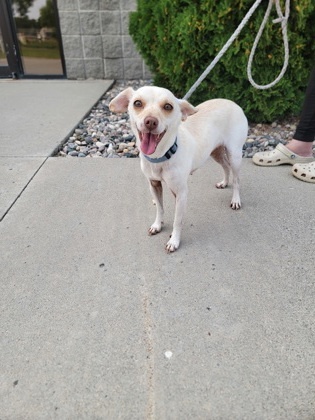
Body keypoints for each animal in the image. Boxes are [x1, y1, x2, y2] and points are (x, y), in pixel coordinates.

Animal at [110, 83, 248, 251]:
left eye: (168, 106)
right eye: (137, 103)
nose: (150, 121)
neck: (161, 156)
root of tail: (232, 102)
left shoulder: (181, 193)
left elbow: (177, 221)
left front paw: (174, 241)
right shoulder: (154, 185)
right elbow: (160, 208)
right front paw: (157, 225)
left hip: (235, 155)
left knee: (237, 179)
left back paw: (236, 199)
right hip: (215, 152)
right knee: (225, 166)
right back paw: (224, 182)